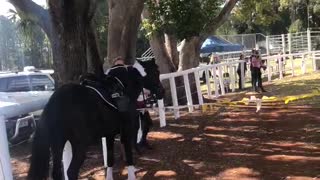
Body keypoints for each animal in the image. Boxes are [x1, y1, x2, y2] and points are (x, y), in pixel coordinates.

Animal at [27, 58, 165, 179]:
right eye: (156, 72)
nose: (162, 92)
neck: (123, 87)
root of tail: (57, 100)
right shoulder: (125, 132)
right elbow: (129, 158)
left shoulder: (109, 135)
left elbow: (110, 160)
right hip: (79, 145)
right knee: (71, 171)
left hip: (57, 145)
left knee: (56, 173)